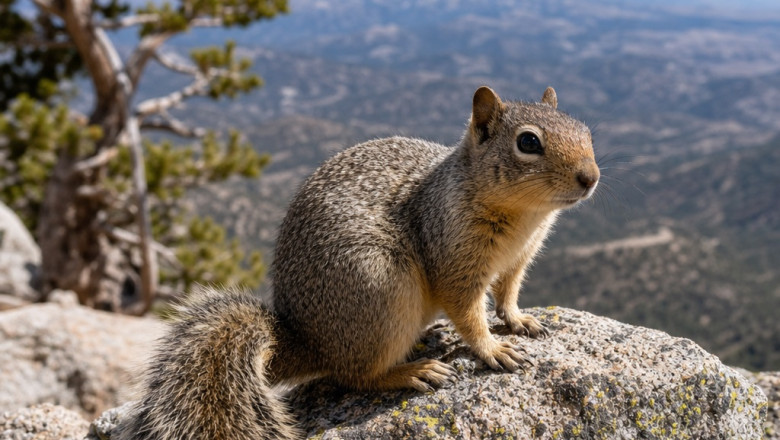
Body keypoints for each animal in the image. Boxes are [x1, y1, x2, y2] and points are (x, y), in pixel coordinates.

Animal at [114, 86, 599, 439]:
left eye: (586, 131)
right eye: (528, 142)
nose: (590, 177)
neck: (525, 217)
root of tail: (306, 342)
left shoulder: (521, 257)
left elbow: (509, 292)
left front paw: (519, 321)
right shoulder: (454, 257)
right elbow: (467, 311)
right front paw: (493, 349)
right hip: (382, 291)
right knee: (354, 376)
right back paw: (412, 370)